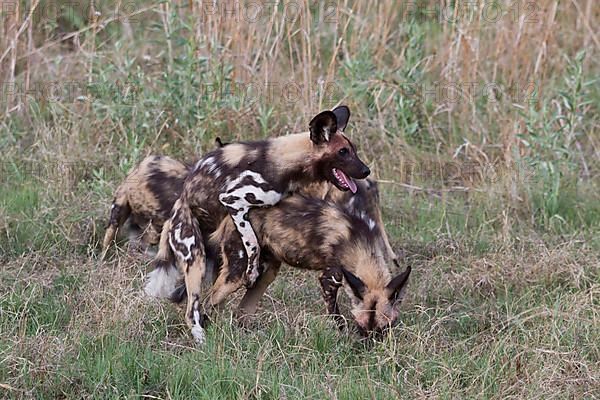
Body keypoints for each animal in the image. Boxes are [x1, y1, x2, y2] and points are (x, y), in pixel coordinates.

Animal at [147, 106, 370, 344]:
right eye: (343, 152)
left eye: (353, 150)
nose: (366, 171)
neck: (286, 164)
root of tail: (178, 208)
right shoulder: (233, 201)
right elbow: (252, 243)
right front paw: (252, 271)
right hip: (195, 259)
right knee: (193, 310)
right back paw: (202, 339)